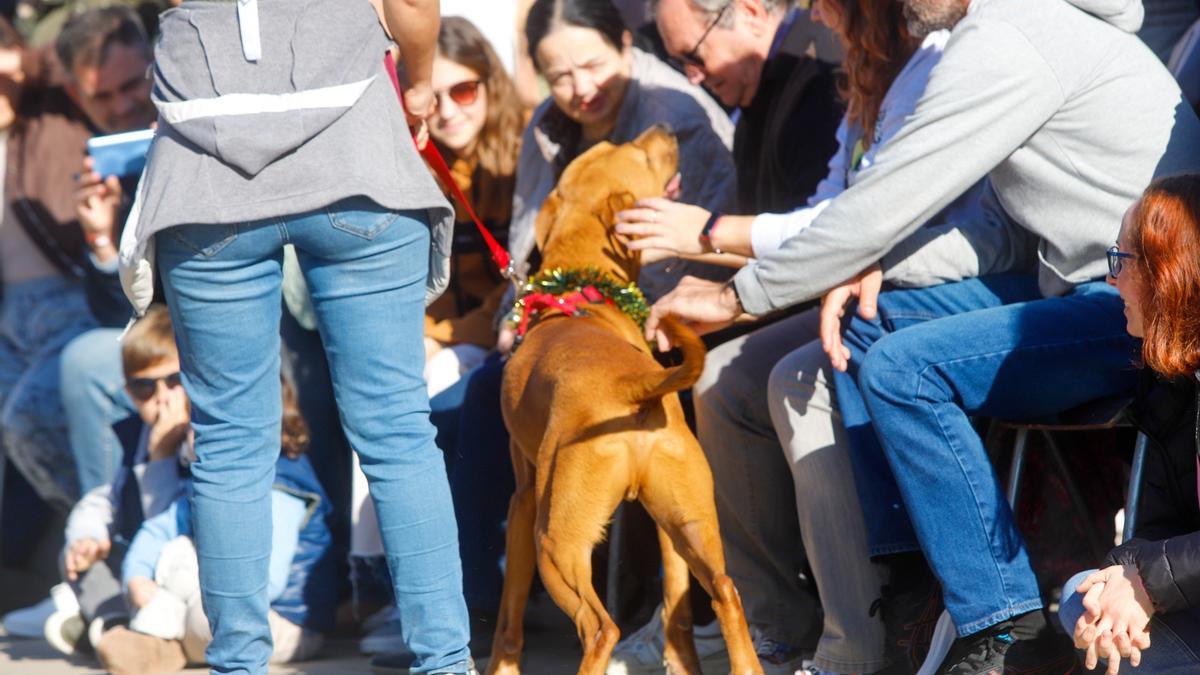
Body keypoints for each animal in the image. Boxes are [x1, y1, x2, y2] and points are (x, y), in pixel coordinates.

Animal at [484, 127, 758, 672]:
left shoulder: (521, 501)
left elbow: (508, 620)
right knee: (726, 594)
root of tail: (629, 386)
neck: (581, 292)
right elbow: (677, 614)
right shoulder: (662, 527)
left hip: (555, 540)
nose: (665, 130)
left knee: (600, 628)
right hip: (691, 520)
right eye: (634, 150)